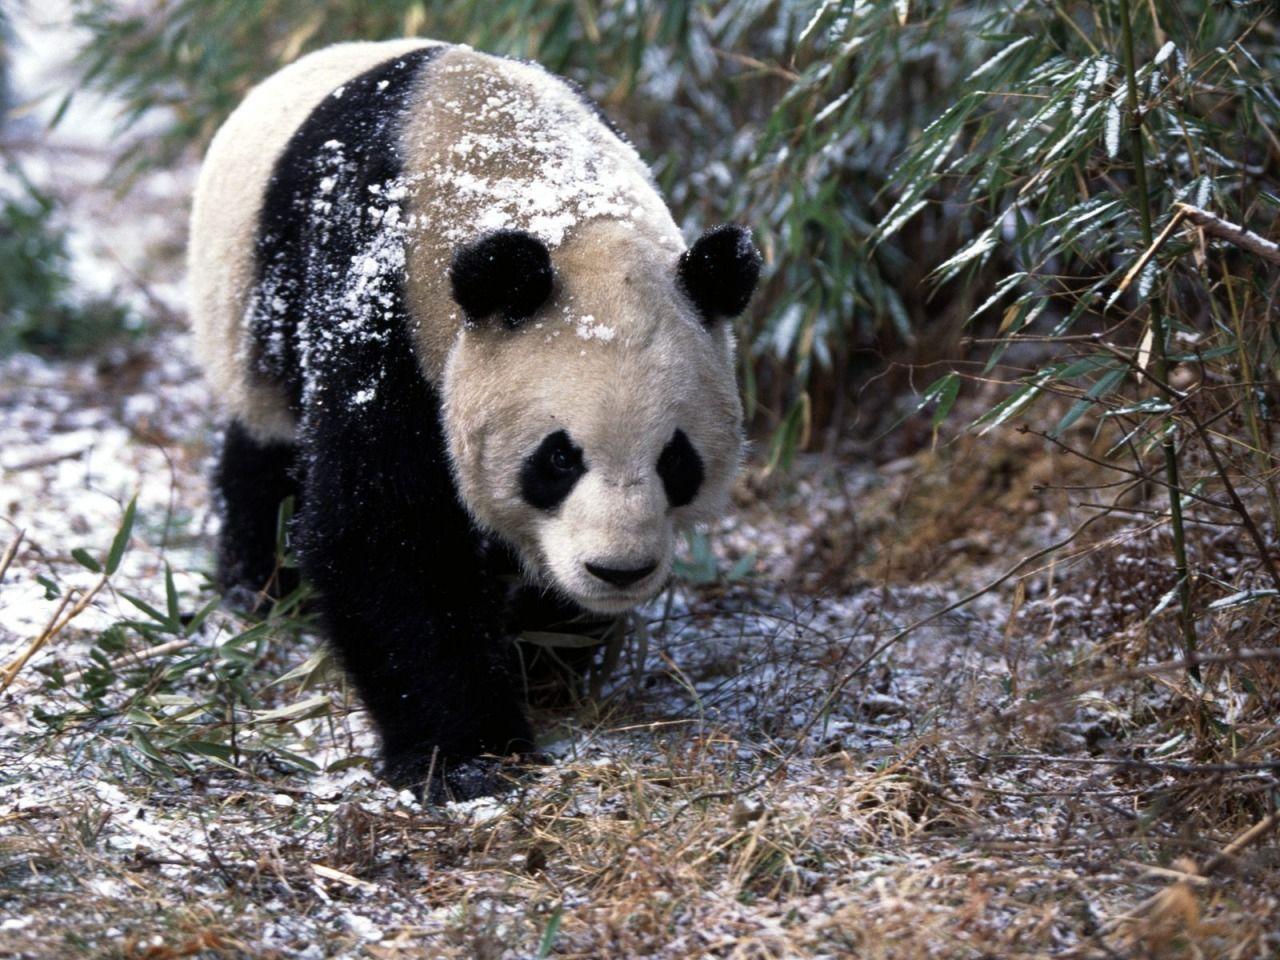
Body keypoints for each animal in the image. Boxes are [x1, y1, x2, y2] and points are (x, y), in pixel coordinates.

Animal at [189, 39, 761, 800]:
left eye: (677, 460)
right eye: (558, 459)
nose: (619, 570)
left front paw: (541, 657)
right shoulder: (377, 299)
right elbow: (384, 531)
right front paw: (468, 755)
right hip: (251, 312)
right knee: (267, 445)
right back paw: (263, 585)